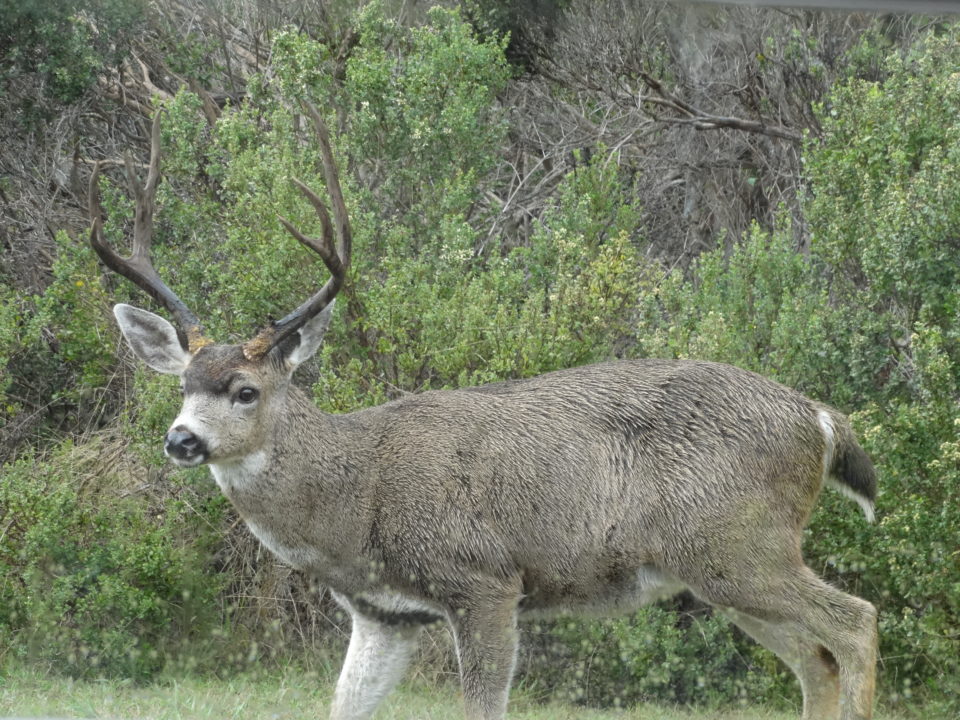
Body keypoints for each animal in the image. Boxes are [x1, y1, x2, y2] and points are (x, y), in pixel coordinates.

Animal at [90, 105, 876, 720]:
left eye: (246, 391)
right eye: (183, 385)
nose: (182, 440)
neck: (357, 494)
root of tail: (818, 418)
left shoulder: (485, 579)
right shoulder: (385, 615)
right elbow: (344, 704)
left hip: (740, 545)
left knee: (857, 624)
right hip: (721, 567)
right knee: (815, 658)